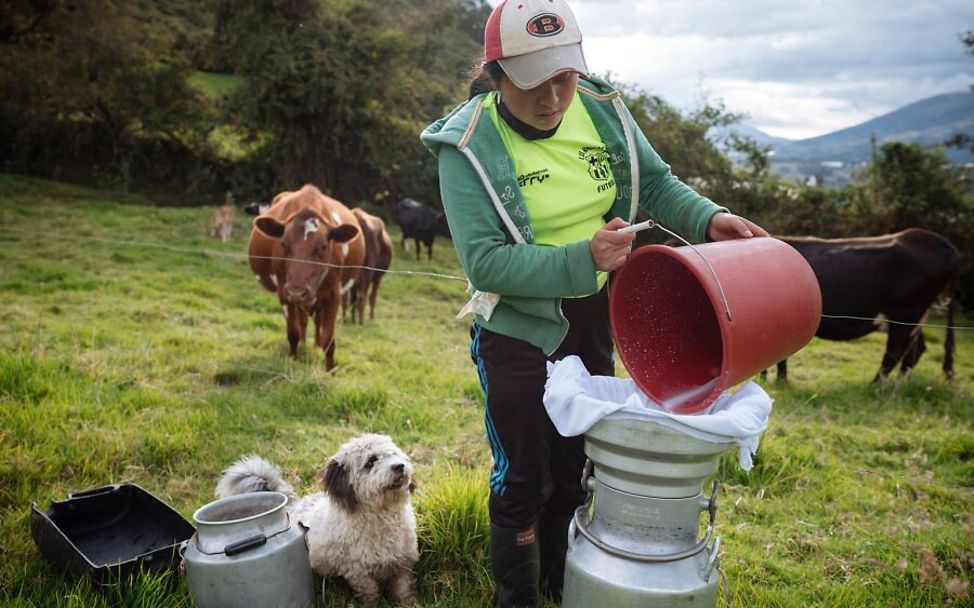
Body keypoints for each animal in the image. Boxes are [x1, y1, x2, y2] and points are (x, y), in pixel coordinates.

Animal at [215, 432, 418, 604]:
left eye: (393, 454)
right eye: (371, 461)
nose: (399, 466)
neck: (382, 517)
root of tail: (291, 505)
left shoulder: (403, 564)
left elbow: (402, 589)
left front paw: (409, 603)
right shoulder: (358, 572)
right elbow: (370, 593)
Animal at [250, 184, 368, 370]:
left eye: (323, 246)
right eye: (284, 244)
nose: (297, 291)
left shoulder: (334, 295)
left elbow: (329, 339)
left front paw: (330, 370)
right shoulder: (285, 293)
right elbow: (293, 332)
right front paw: (293, 360)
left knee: (316, 320)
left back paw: (315, 344)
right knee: (303, 321)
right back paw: (305, 345)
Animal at [772, 228, 960, 380]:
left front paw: (781, 381)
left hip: (905, 313)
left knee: (894, 353)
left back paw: (876, 387)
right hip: (916, 317)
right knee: (914, 351)